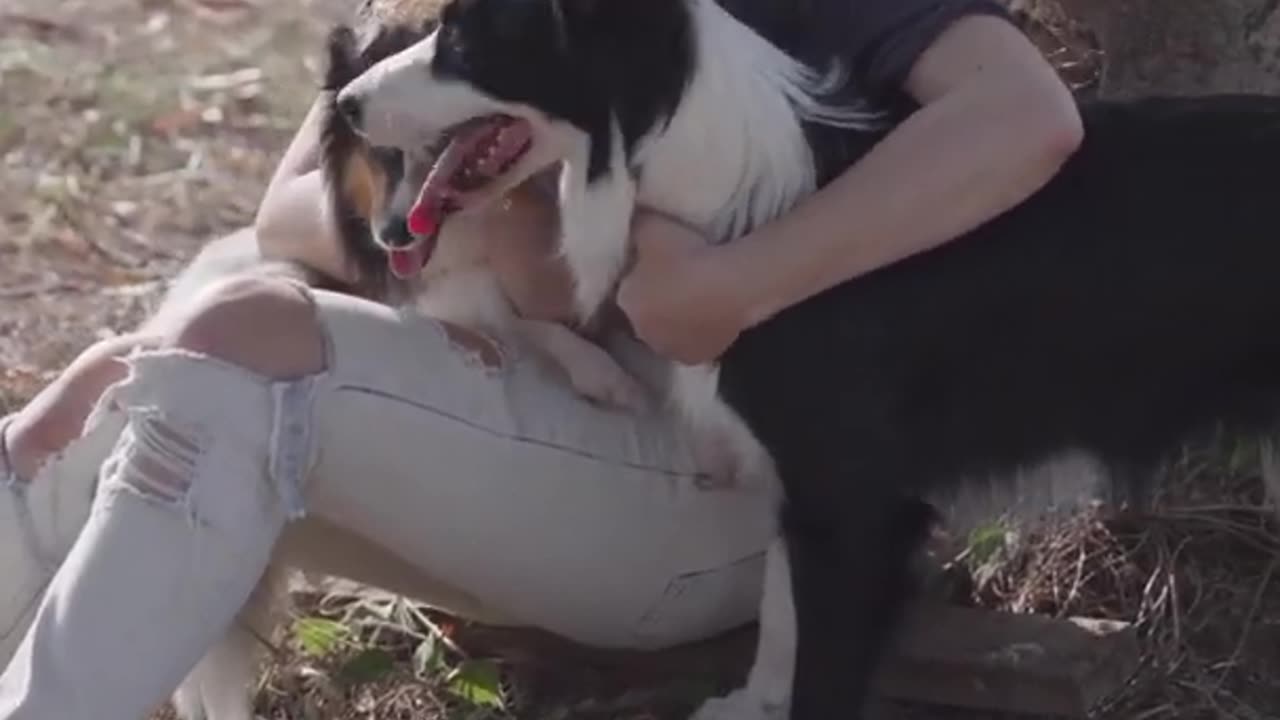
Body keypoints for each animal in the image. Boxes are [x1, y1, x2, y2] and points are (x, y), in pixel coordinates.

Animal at [327, 0, 1280, 712]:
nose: (342, 103)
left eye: (464, 36)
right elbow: (781, 618)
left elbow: (818, 659)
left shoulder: (854, 503)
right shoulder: (802, 493)